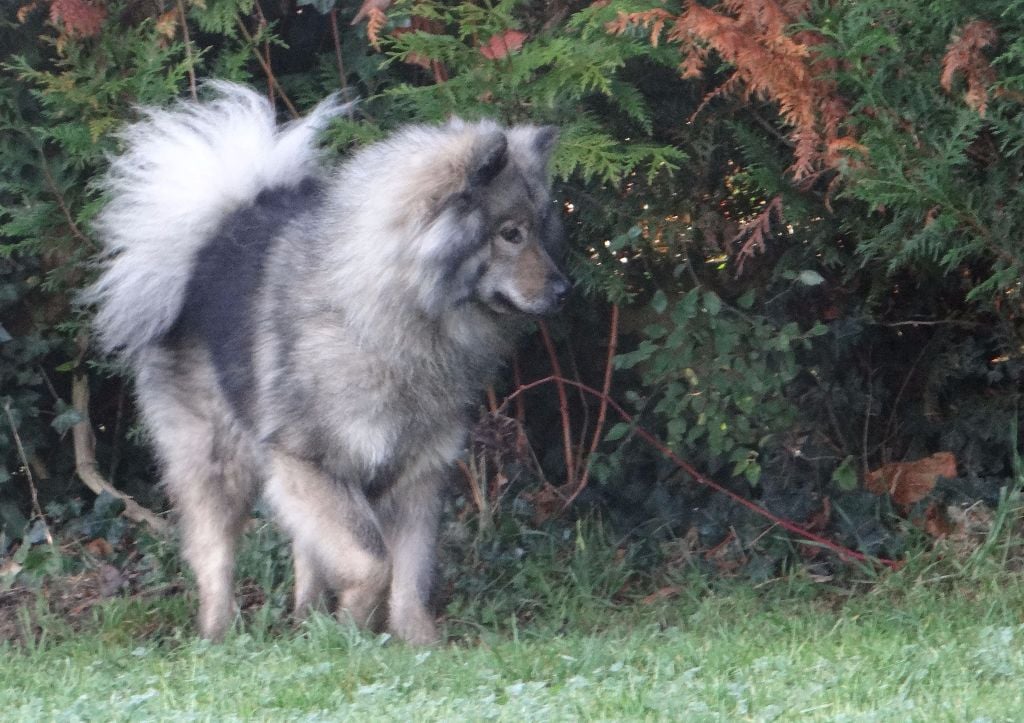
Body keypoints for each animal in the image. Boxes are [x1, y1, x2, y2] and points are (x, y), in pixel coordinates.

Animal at [87, 84, 569, 643]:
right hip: (217, 461)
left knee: (304, 551)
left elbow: (410, 574)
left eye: (542, 231)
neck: (394, 319)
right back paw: (219, 634)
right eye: (511, 234)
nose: (564, 289)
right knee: (215, 557)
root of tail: (214, 237)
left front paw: (416, 641)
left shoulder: (419, 474)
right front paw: (354, 628)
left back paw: (307, 620)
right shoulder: (310, 461)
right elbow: (374, 560)